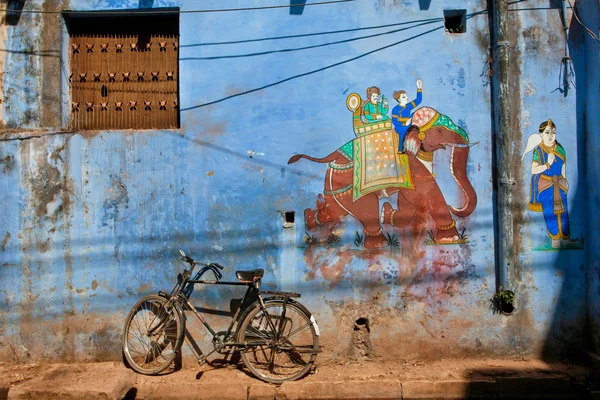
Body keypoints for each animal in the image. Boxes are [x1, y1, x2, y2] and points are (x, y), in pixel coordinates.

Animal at [288, 108, 478, 248]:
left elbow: (408, 202)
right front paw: (450, 239)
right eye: (439, 131)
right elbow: (426, 193)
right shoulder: (409, 163)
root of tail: (333, 156)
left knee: (335, 210)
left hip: (335, 184)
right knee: (366, 209)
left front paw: (386, 213)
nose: (454, 206)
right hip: (349, 183)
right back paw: (378, 245)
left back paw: (308, 219)